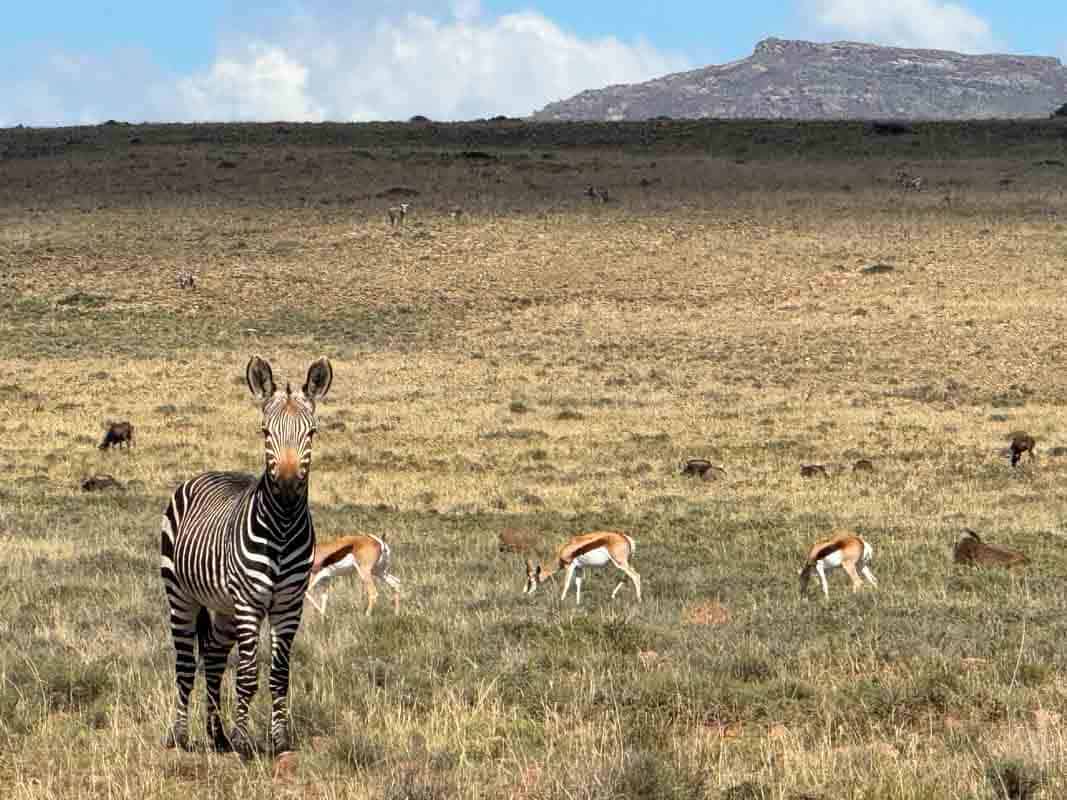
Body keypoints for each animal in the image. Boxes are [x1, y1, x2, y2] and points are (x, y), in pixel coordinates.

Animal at [158, 356, 328, 759]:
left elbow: (279, 675)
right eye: (265, 432)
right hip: (181, 595)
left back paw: (216, 735)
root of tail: (206, 473)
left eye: (311, 433)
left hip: (224, 609)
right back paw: (181, 736)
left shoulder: (289, 605)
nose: (286, 487)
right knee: (186, 665)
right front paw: (243, 741)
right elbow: (249, 675)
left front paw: (279, 741)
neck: (281, 527)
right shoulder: (250, 603)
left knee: (214, 657)